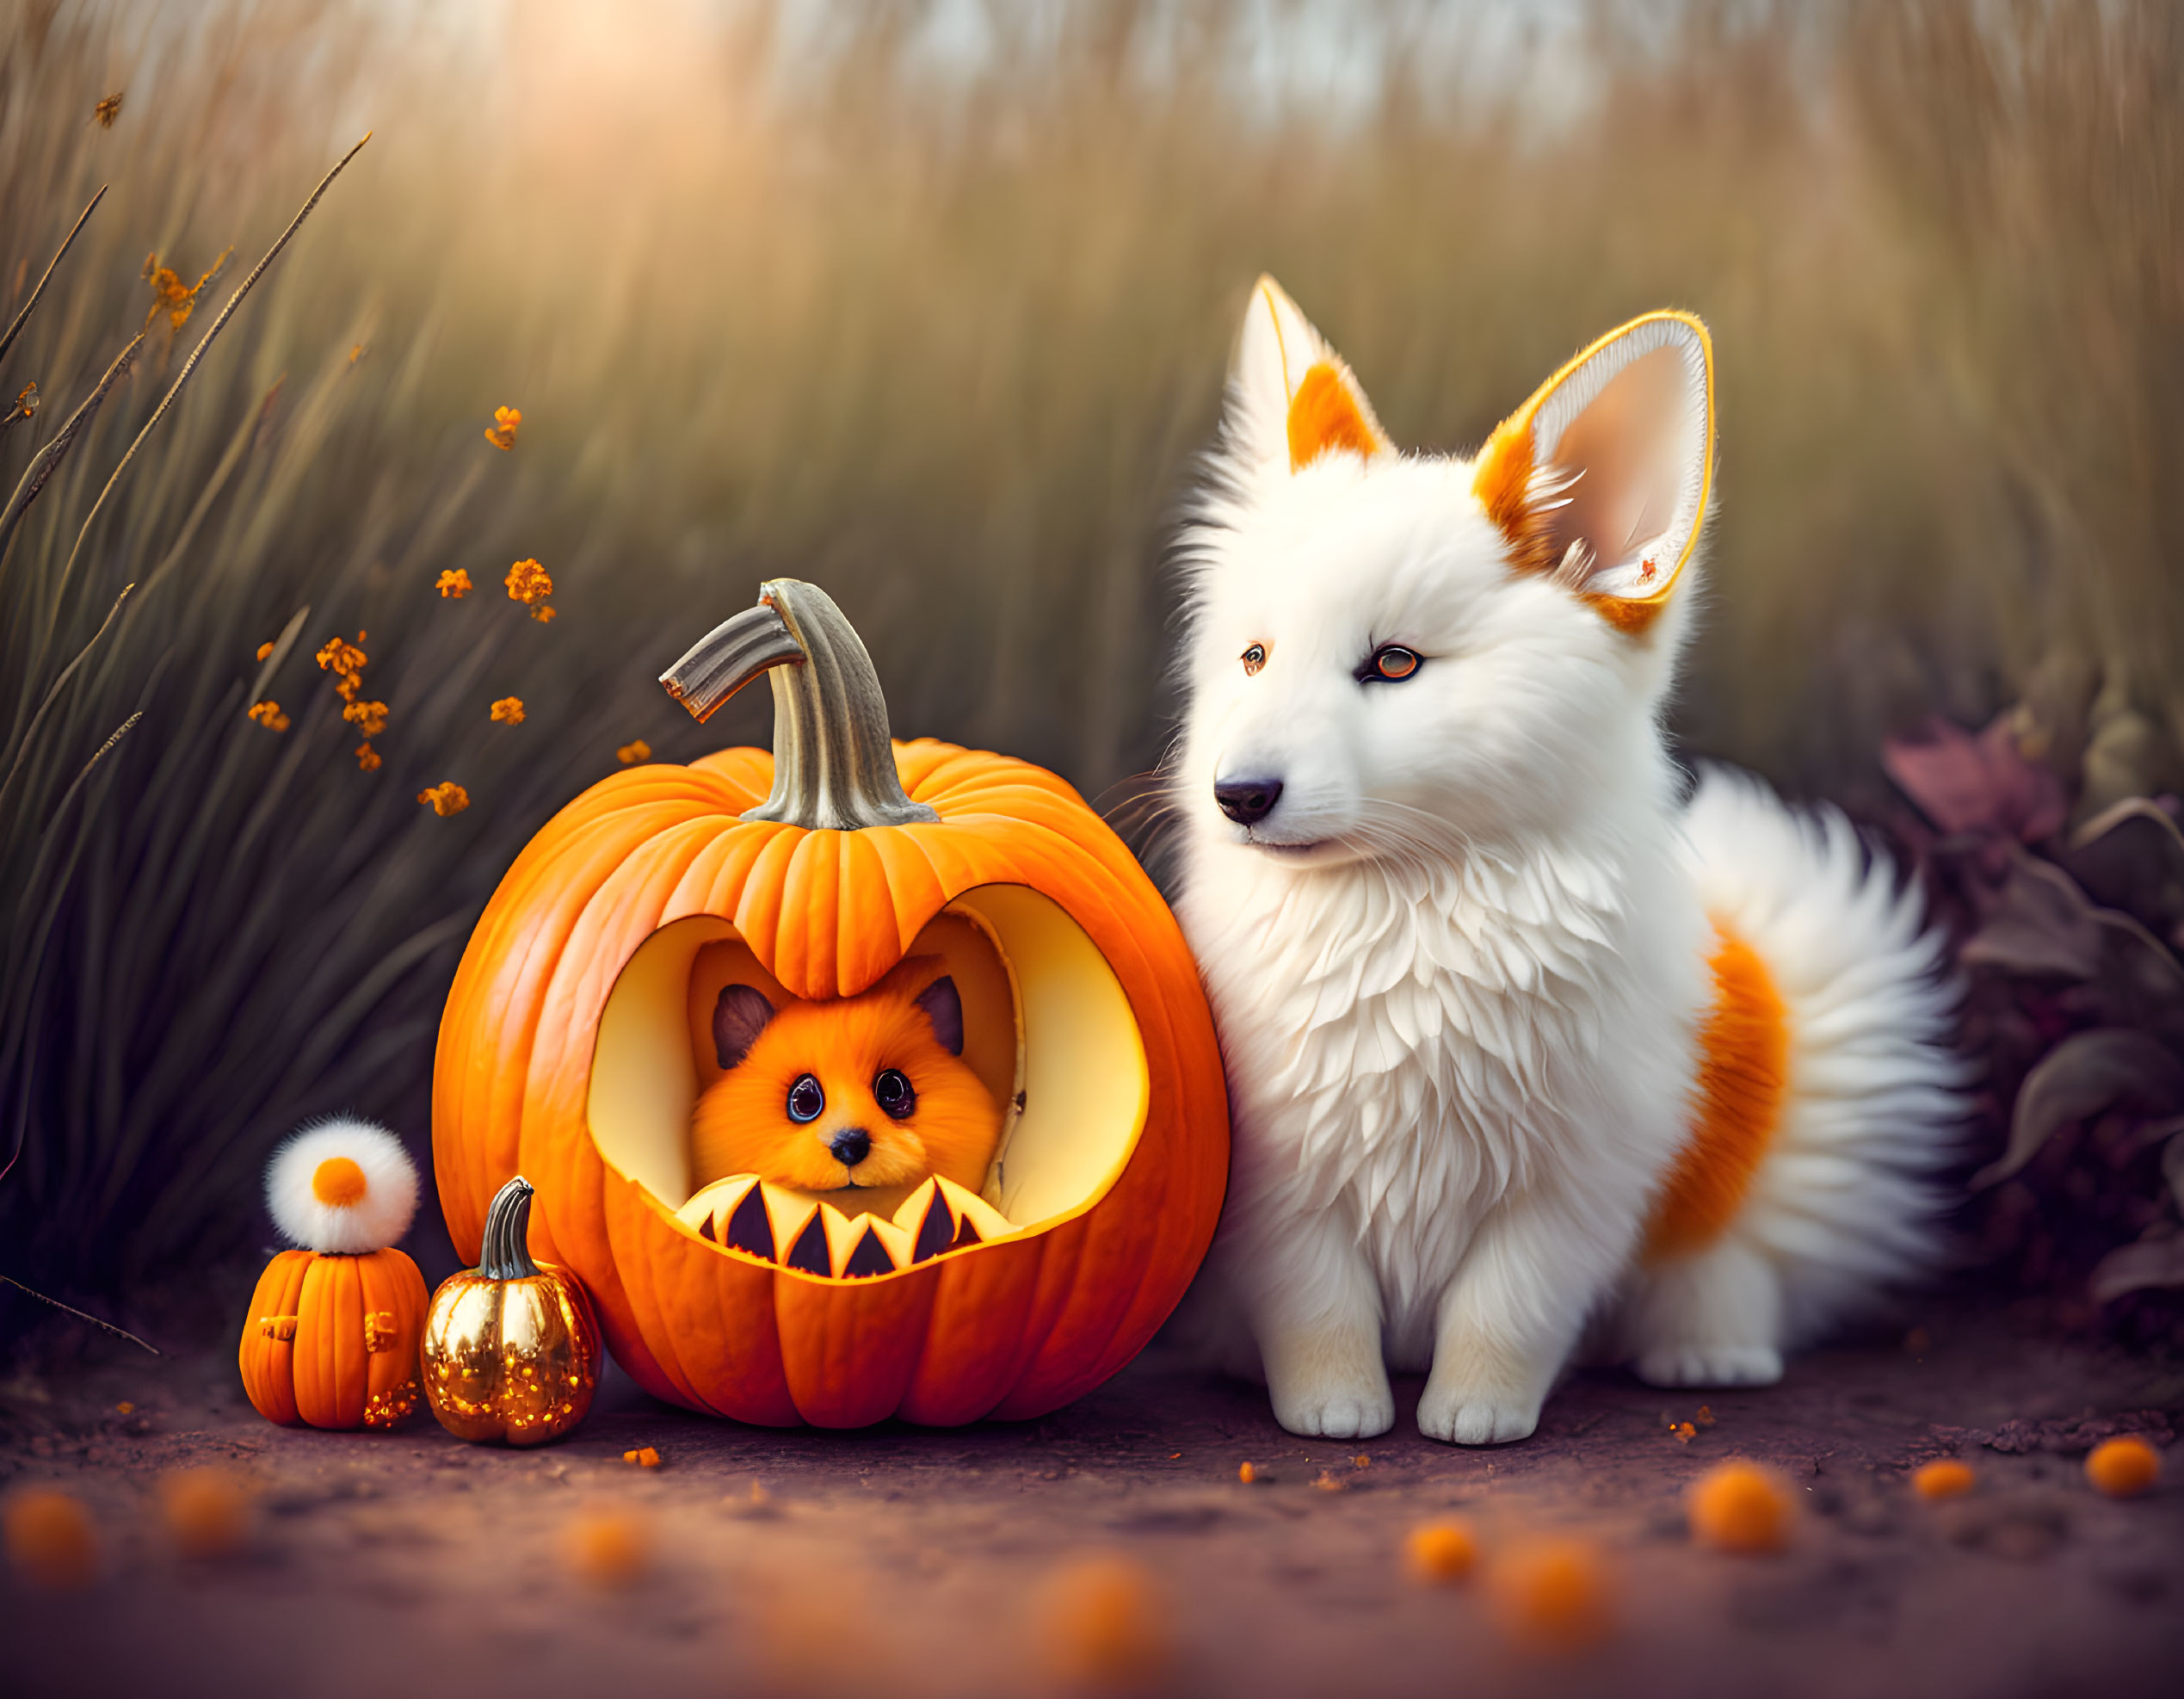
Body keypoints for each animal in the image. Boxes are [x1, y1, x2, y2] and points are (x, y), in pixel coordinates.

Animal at [1179, 281, 1965, 1441]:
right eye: (1254, 659)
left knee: (1725, 1275)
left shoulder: (1573, 1187)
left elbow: (1505, 1311)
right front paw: (1336, 1414)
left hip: (1713, 1217)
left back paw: (1710, 1358)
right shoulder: (1282, 1188)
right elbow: (1318, 1310)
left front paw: (1474, 1420)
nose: (1237, 796)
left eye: (1395, 664)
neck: (1410, 900)